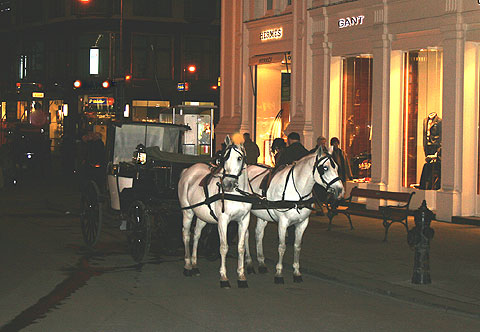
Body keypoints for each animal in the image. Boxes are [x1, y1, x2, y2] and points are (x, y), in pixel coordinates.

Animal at [176, 135, 251, 288]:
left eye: (239, 158)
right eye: (224, 158)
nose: (227, 184)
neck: (237, 194)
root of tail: (188, 171)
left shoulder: (244, 220)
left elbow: (241, 247)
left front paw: (241, 276)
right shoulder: (223, 221)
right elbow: (223, 247)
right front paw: (224, 277)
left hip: (202, 216)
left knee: (196, 235)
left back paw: (194, 264)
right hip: (188, 213)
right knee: (186, 235)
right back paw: (188, 266)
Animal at [246, 147, 344, 284]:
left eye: (337, 167)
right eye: (325, 168)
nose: (340, 190)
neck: (297, 190)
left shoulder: (302, 223)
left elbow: (297, 246)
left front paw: (297, 272)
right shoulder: (283, 223)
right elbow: (282, 247)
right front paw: (279, 273)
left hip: (263, 215)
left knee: (258, 234)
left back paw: (261, 264)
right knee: (245, 235)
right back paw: (249, 263)